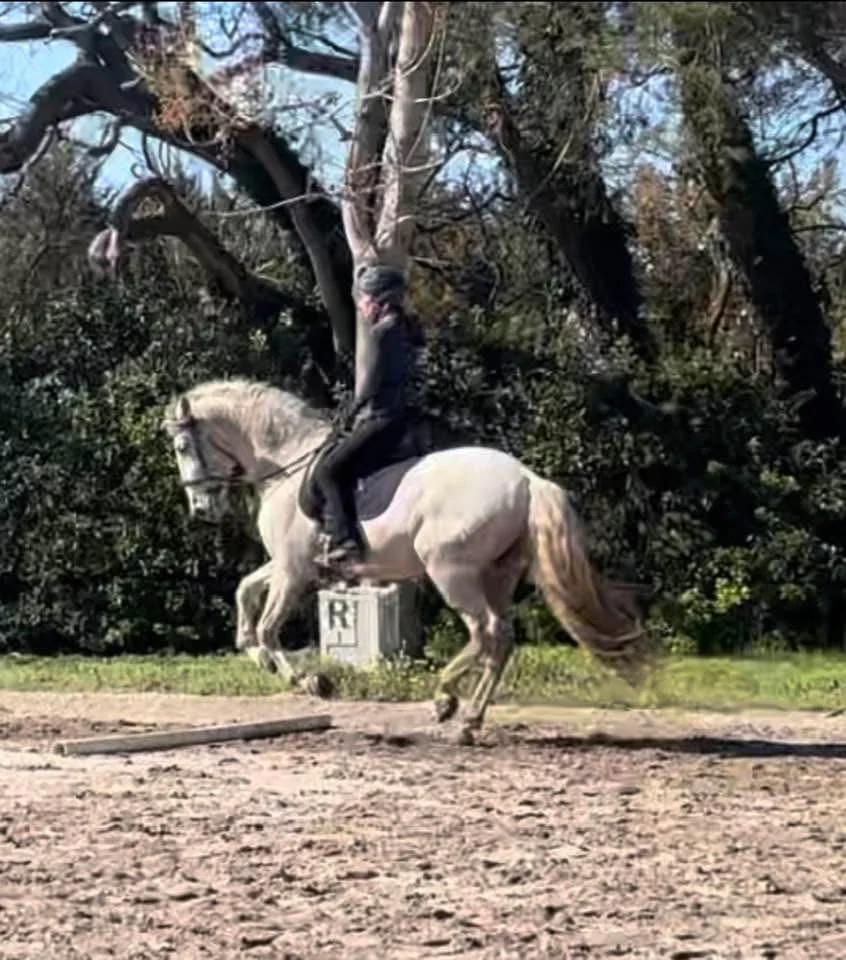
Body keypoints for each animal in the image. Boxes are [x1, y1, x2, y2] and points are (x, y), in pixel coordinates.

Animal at [162, 377, 650, 742]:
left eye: (183, 446)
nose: (202, 510)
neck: (285, 461)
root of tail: (528, 480)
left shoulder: (293, 570)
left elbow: (268, 625)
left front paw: (309, 680)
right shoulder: (288, 564)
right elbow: (244, 591)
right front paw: (255, 653)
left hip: (452, 572)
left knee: (486, 632)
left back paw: (446, 699)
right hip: (498, 572)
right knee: (501, 638)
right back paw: (469, 719)